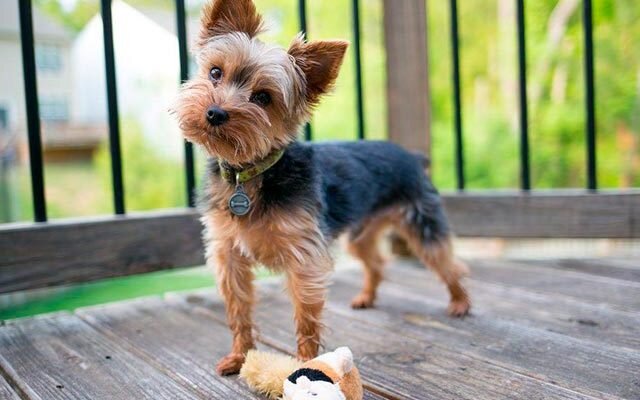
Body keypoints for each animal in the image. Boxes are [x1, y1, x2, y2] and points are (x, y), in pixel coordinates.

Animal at [171, 0, 470, 376]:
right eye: (214, 72)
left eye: (263, 97)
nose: (214, 113)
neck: (250, 174)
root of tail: (412, 156)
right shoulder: (228, 254)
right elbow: (238, 310)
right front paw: (239, 356)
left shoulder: (304, 255)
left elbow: (306, 314)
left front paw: (305, 362)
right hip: (361, 231)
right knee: (375, 261)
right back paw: (366, 297)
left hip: (421, 220)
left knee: (447, 262)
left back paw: (460, 302)